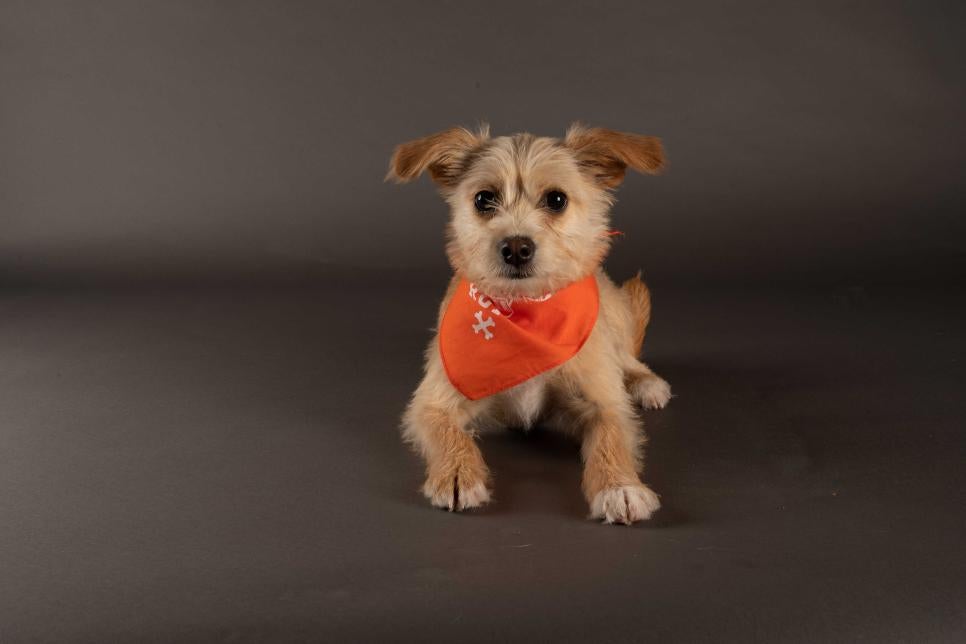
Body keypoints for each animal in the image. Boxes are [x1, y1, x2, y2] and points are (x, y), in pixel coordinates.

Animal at [386, 124, 672, 524]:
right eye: (484, 199)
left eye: (556, 200)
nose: (517, 248)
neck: (525, 312)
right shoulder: (432, 401)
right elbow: (447, 432)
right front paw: (458, 473)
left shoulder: (605, 401)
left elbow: (612, 435)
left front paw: (620, 486)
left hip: (614, 320)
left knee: (629, 358)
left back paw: (646, 383)